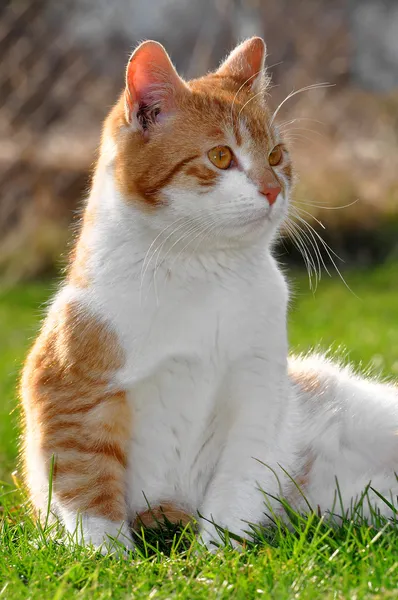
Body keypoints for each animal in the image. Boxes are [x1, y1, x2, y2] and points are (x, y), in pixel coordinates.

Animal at [20, 36, 398, 552]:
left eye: (276, 156)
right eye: (221, 157)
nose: (272, 189)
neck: (201, 273)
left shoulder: (257, 392)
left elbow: (235, 486)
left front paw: (218, 553)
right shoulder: (69, 392)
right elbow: (87, 489)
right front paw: (107, 555)